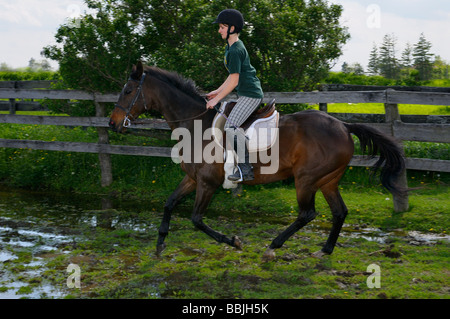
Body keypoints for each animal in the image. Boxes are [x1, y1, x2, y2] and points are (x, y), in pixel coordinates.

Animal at [110, 61, 408, 262]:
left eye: (128, 90)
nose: (113, 124)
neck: (195, 124)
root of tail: (344, 125)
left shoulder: (207, 183)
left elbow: (196, 219)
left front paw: (233, 241)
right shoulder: (192, 179)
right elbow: (169, 203)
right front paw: (160, 243)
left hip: (306, 179)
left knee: (307, 214)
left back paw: (273, 246)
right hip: (328, 180)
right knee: (339, 212)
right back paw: (324, 250)